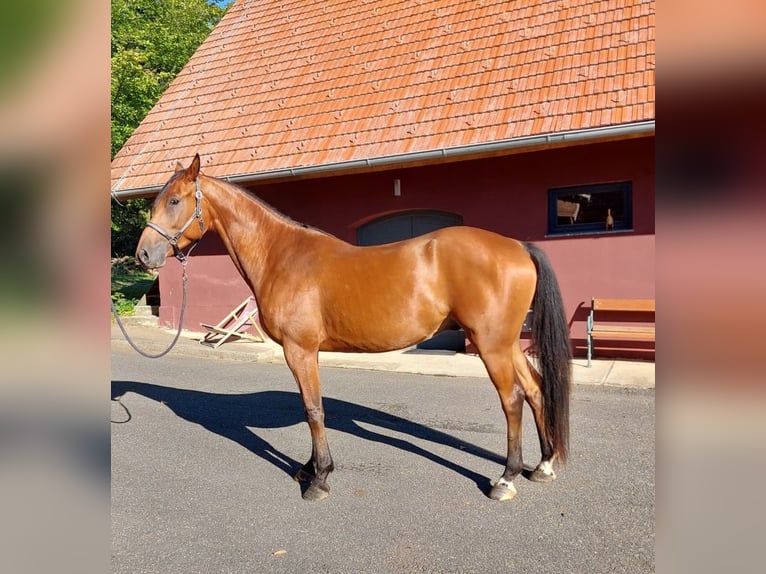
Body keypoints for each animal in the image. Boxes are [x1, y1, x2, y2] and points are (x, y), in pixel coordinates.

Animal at [136, 154, 572, 502]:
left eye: (174, 201)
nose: (144, 254)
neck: (281, 255)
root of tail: (517, 246)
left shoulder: (300, 350)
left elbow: (313, 409)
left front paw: (319, 480)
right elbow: (311, 408)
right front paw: (309, 469)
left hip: (491, 344)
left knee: (512, 400)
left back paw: (505, 479)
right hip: (508, 343)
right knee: (535, 391)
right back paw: (543, 466)